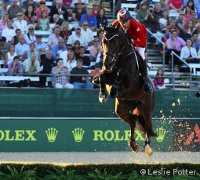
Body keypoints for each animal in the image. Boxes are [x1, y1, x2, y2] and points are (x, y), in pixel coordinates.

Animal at [93, 26, 156, 157]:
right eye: (103, 41)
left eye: (115, 42)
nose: (107, 63)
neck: (120, 57)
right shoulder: (108, 74)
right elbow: (102, 76)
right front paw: (103, 95)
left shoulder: (129, 82)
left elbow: (121, 72)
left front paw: (113, 90)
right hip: (122, 108)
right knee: (133, 121)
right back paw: (133, 145)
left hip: (146, 109)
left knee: (148, 126)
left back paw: (148, 148)